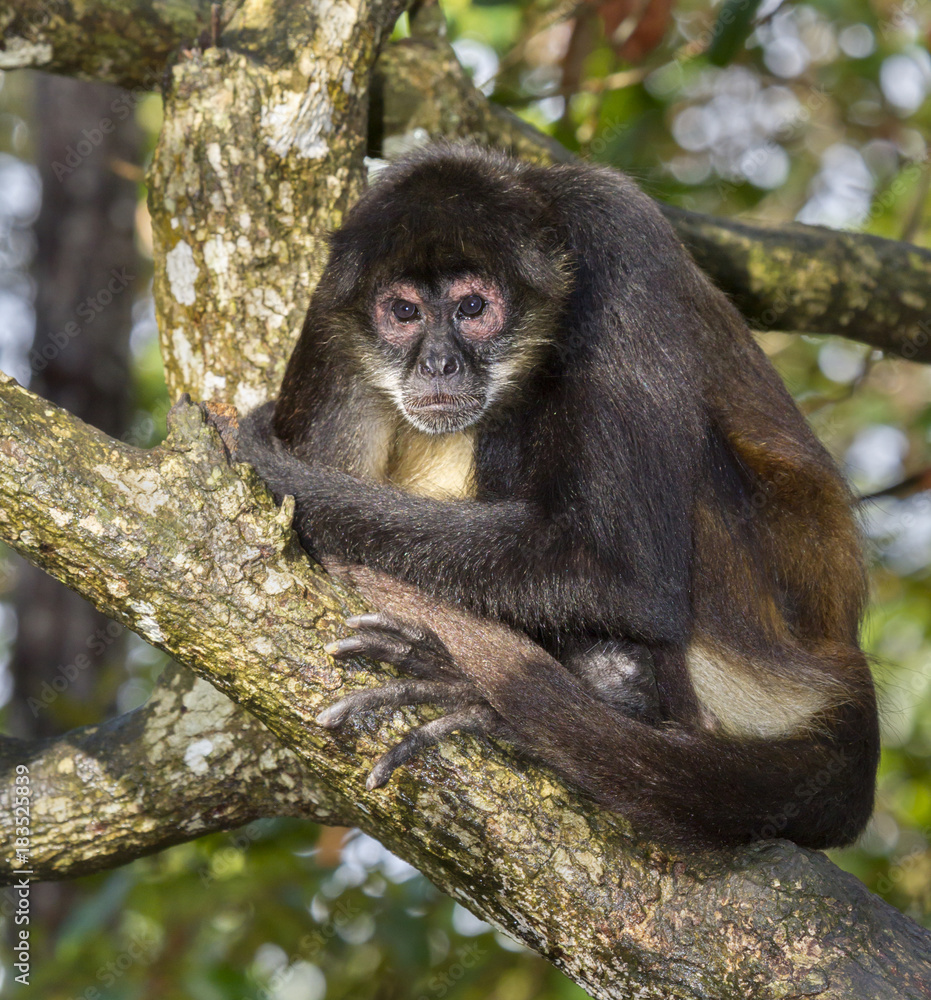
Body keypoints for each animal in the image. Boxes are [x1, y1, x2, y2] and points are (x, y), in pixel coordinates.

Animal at [237, 143, 879, 849]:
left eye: (472, 308)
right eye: (403, 313)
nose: (438, 364)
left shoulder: (619, 233)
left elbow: (625, 577)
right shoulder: (335, 305)